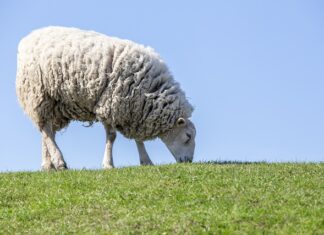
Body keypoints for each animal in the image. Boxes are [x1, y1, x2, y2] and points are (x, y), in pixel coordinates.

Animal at [16, 26, 196, 171]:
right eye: (188, 136)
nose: (188, 161)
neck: (149, 90)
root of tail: (28, 38)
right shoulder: (111, 105)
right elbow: (112, 137)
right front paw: (108, 164)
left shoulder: (134, 111)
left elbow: (137, 139)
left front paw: (146, 161)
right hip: (39, 94)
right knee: (46, 130)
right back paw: (59, 162)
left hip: (54, 104)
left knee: (47, 132)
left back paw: (48, 164)